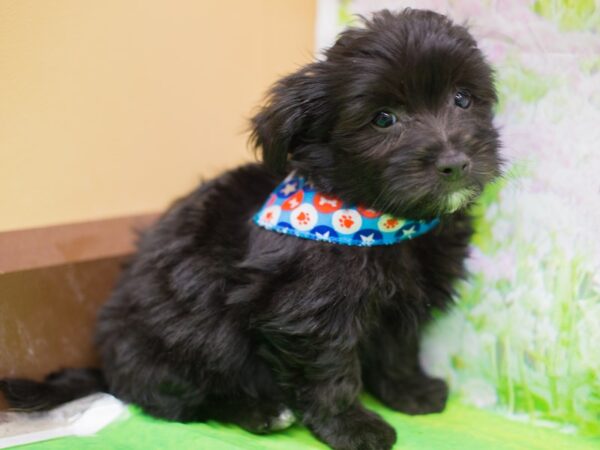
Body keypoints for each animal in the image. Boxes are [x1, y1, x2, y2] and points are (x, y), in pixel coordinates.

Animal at [1, 9, 502, 450]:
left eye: (462, 98)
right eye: (383, 119)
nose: (455, 162)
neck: (382, 221)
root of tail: (108, 368)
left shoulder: (399, 303)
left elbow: (399, 346)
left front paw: (409, 392)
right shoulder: (310, 311)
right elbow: (331, 370)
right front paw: (352, 426)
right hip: (196, 332)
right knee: (180, 401)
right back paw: (259, 411)